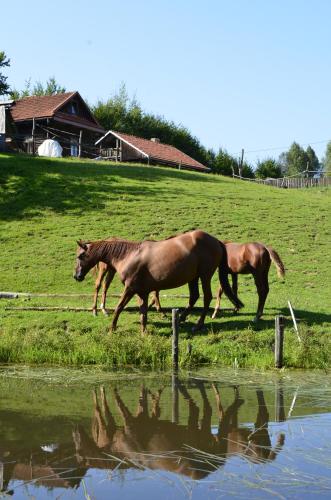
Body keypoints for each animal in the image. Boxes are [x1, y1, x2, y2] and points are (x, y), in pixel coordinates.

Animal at [73, 229, 244, 332]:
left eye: (80, 256)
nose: (77, 276)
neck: (129, 255)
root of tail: (217, 241)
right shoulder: (142, 292)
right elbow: (143, 312)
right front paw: (143, 332)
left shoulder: (130, 289)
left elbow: (119, 307)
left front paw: (112, 328)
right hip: (193, 278)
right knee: (194, 296)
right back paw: (181, 319)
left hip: (204, 275)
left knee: (207, 297)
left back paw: (198, 324)